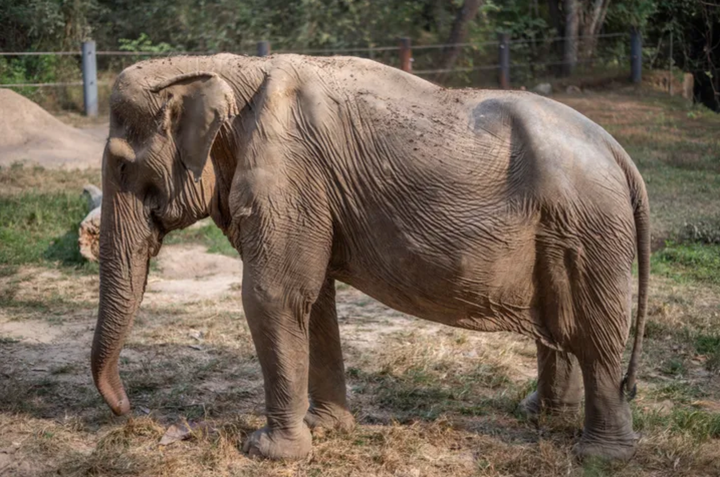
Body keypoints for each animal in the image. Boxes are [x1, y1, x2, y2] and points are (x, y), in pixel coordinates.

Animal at [93, 53, 648, 462]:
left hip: (590, 229)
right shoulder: (311, 192)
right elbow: (313, 300)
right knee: (563, 325)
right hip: (569, 231)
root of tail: (621, 153)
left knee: (596, 335)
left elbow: (273, 295)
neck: (223, 68)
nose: (130, 411)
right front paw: (325, 428)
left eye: (121, 167)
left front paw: (269, 452)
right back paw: (539, 415)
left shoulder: (289, 173)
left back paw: (600, 456)